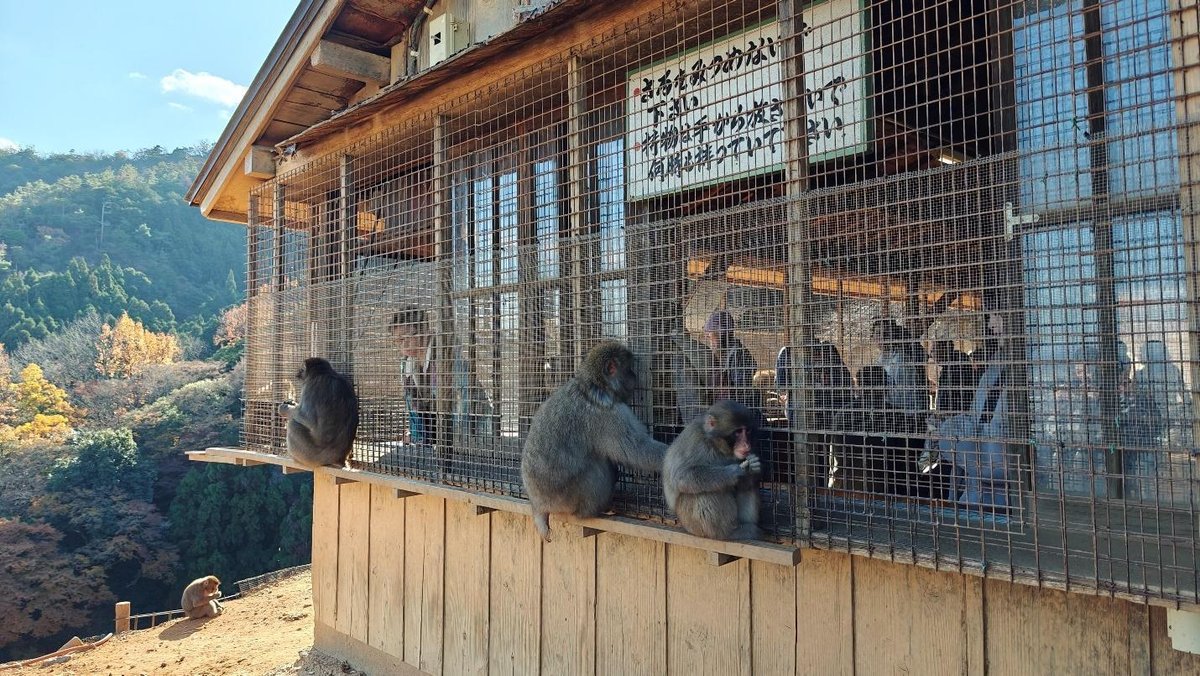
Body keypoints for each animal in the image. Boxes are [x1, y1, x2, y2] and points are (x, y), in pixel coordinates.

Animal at [521, 340, 669, 541]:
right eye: (628, 369)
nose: (634, 376)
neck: (592, 385)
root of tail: (538, 504)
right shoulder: (609, 415)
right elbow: (636, 451)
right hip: (570, 500)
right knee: (596, 468)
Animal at [662, 400, 763, 541]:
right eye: (737, 432)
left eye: (747, 431)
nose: (746, 444)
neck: (715, 444)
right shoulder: (695, 441)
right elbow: (681, 476)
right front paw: (733, 472)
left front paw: (753, 467)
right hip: (691, 524)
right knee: (704, 492)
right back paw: (729, 533)